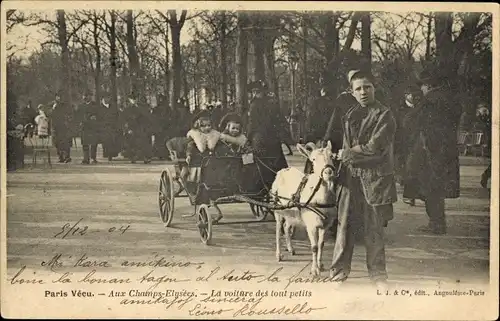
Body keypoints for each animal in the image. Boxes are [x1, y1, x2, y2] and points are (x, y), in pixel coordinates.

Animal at [272, 142, 338, 276]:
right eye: (313, 159)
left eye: (332, 156)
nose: (328, 172)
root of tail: (282, 171)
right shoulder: (311, 225)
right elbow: (314, 247)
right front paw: (314, 270)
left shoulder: (326, 224)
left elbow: (321, 244)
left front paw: (321, 265)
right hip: (278, 208)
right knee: (278, 229)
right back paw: (279, 255)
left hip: (291, 212)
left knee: (287, 226)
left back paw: (291, 249)